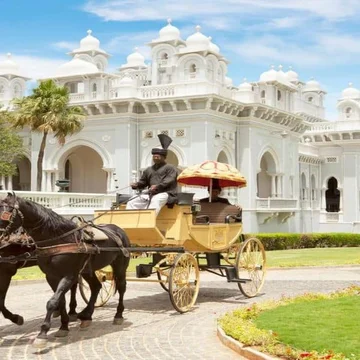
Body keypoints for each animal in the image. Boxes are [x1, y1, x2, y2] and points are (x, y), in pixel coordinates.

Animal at [0, 194, 129, 348]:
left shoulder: (68, 275)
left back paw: (118, 315)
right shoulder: (51, 276)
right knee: (96, 286)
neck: (59, 239)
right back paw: (86, 315)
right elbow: (60, 300)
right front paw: (63, 326)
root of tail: (118, 230)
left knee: (121, 287)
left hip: (120, 265)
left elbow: (53, 301)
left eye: (5, 213)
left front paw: (42, 333)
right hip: (87, 270)